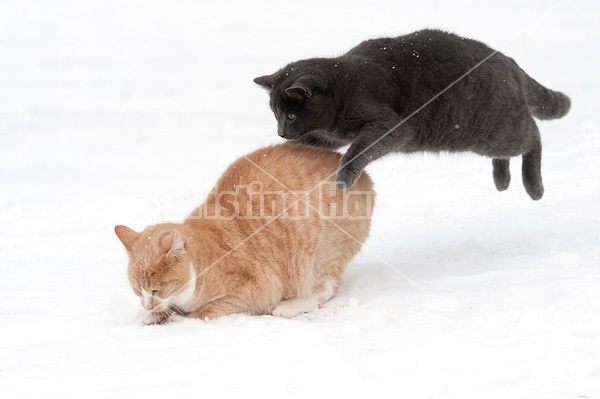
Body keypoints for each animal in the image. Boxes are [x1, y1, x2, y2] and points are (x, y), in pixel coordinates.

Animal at [114, 144, 372, 324]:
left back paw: (289, 306)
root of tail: (365, 178)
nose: (147, 305)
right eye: (137, 290)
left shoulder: (254, 290)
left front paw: (177, 318)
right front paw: (152, 316)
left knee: (326, 287)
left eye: (156, 289)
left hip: (317, 257)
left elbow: (203, 311)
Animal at [254, 28, 572, 200]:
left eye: (290, 116)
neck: (345, 85)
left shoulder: (389, 126)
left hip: (494, 129)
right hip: (489, 137)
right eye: (276, 114)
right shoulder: (331, 135)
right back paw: (502, 180)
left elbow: (358, 151)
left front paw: (344, 178)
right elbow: (317, 142)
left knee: (533, 137)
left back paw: (534, 187)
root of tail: (508, 61)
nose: (281, 131)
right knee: (511, 149)